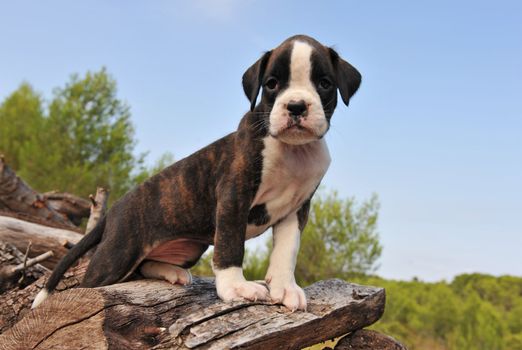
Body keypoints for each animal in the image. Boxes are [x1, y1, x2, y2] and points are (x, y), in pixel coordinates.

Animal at [31, 34, 358, 310]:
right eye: (272, 83)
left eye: (325, 84)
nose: (297, 106)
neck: (292, 150)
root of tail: (113, 212)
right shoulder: (233, 195)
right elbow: (230, 245)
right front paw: (236, 287)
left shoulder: (295, 208)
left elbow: (286, 251)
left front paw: (285, 288)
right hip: (116, 256)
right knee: (95, 281)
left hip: (187, 247)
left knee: (143, 267)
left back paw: (170, 271)